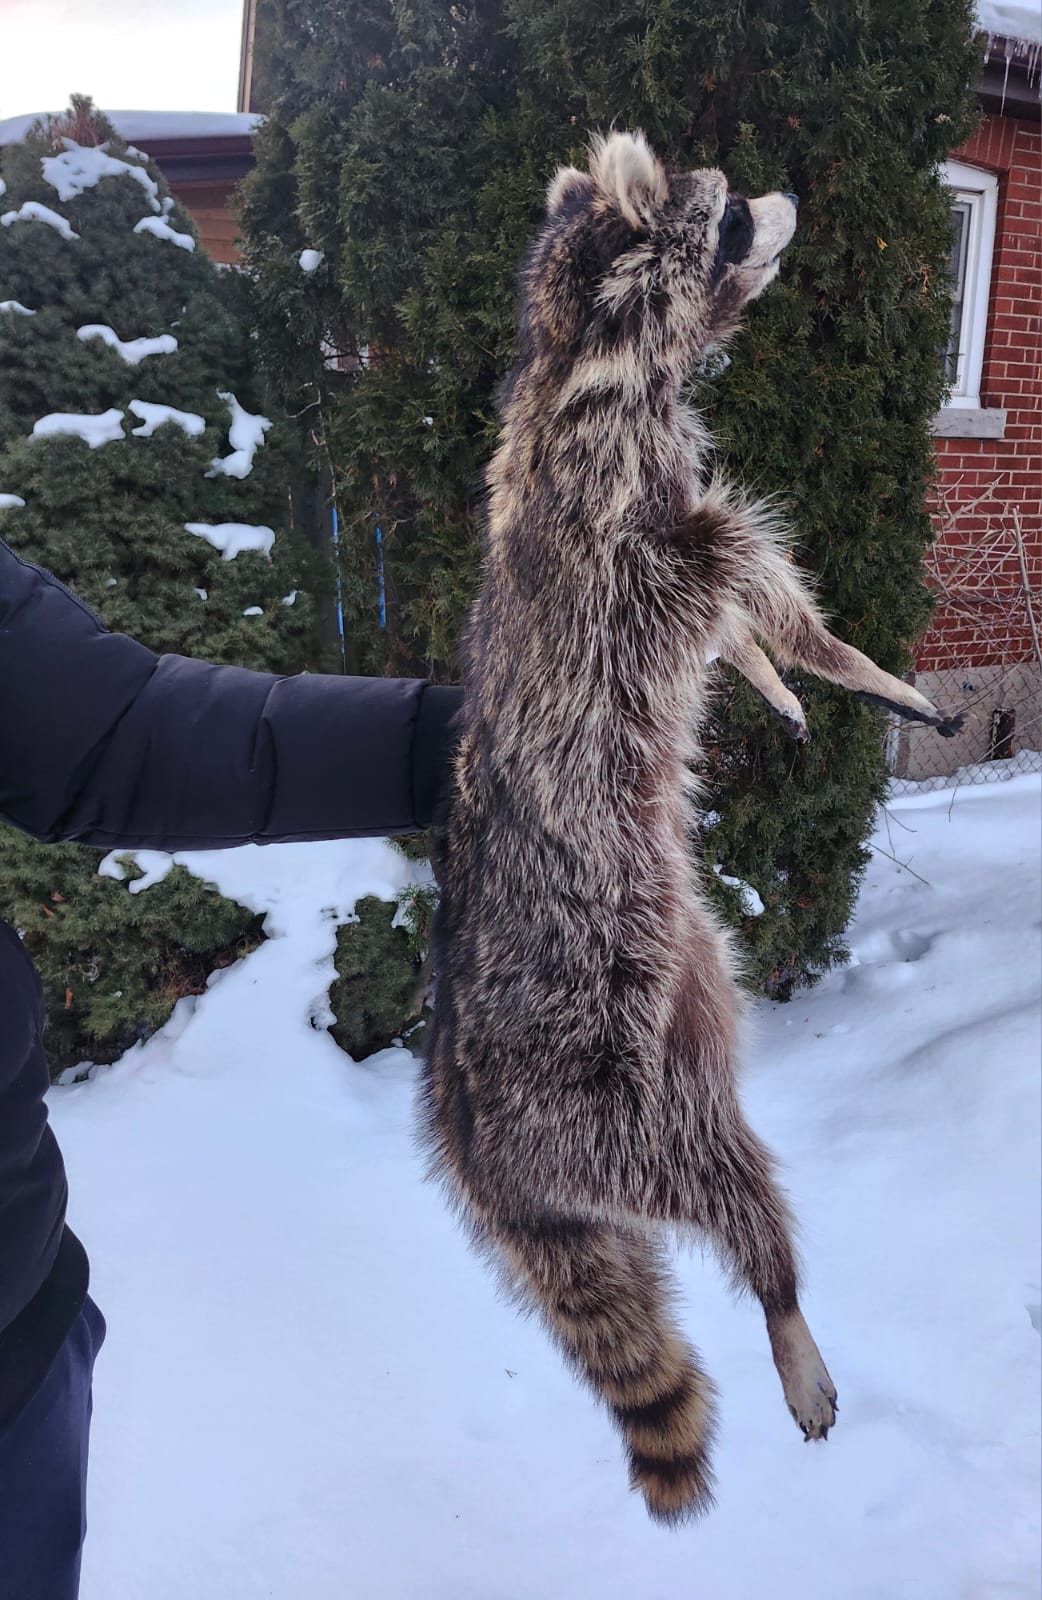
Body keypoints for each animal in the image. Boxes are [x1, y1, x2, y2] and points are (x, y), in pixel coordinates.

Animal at [422, 131, 961, 1525]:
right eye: (722, 218)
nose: (789, 198)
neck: (581, 358)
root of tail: (472, 1132)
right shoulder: (644, 541)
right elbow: (750, 588)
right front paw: (834, 660)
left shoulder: (663, 522)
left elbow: (735, 624)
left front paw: (780, 680)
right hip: (626, 1100)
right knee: (734, 1189)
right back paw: (787, 1313)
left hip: (678, 1018)